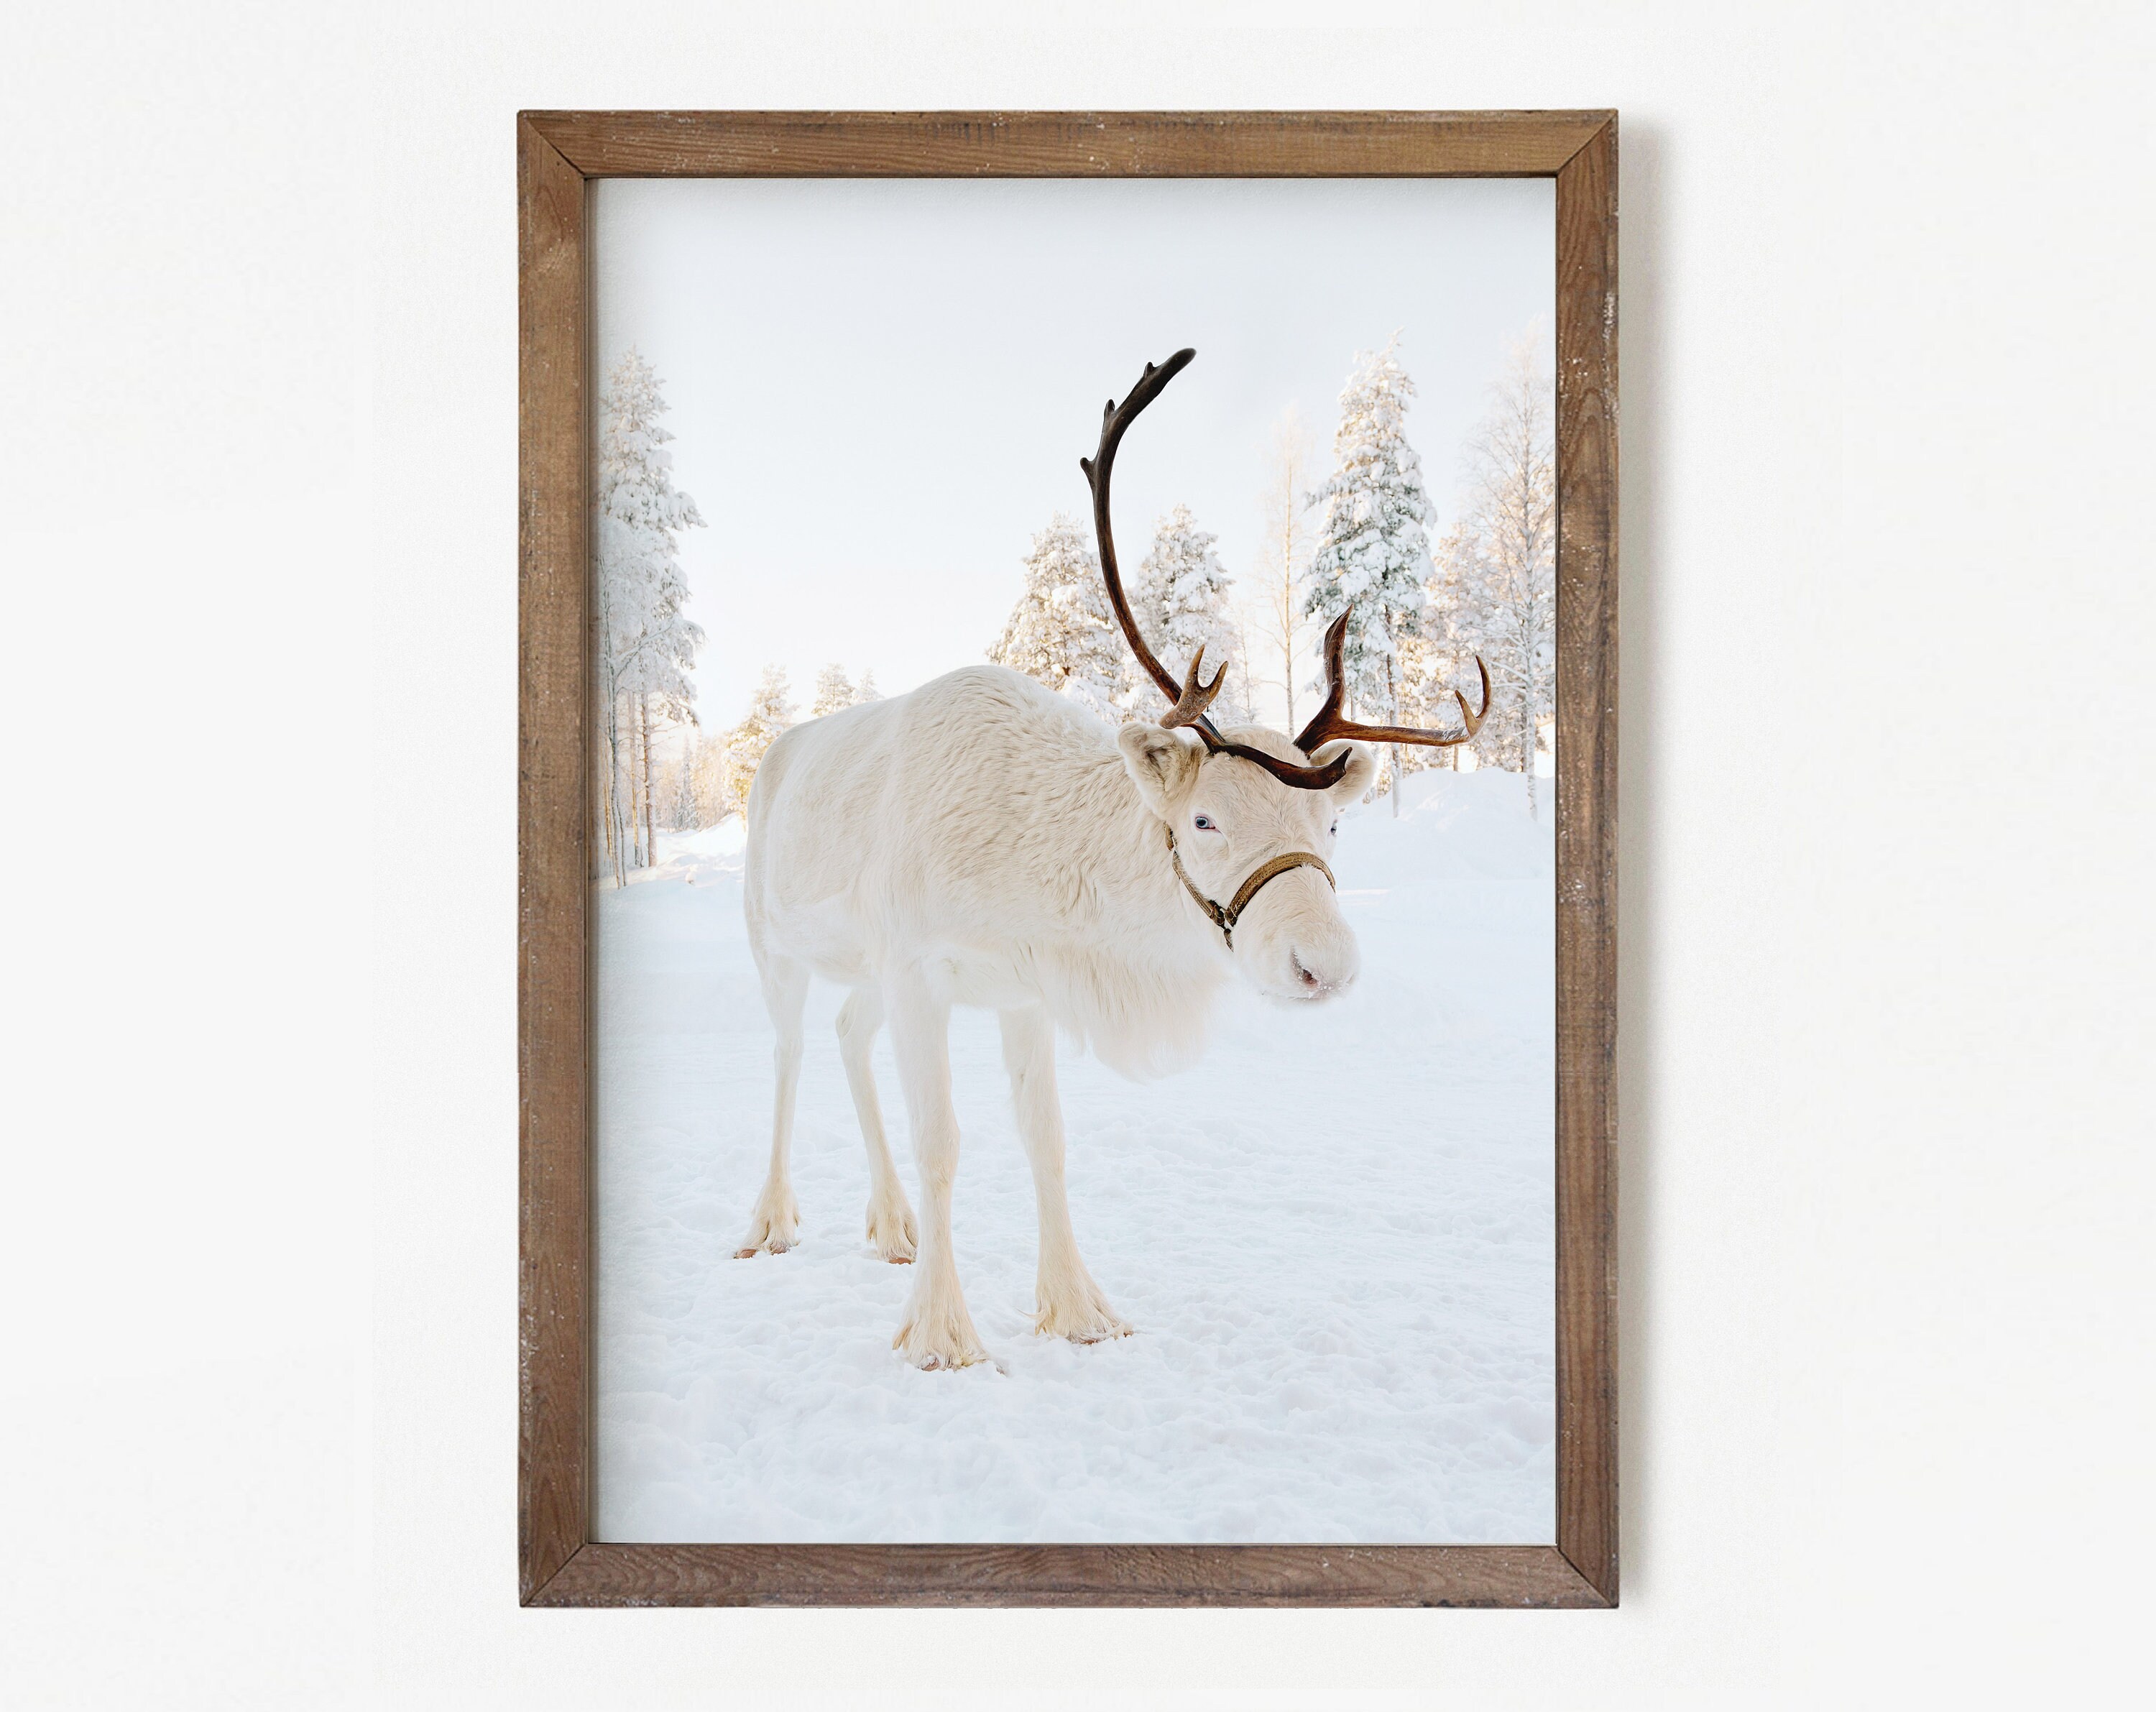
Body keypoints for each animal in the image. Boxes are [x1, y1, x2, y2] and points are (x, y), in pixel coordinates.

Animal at [736, 348, 1490, 1370]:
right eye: (1205, 820)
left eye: (1332, 826)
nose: (1324, 965)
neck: (1040, 863)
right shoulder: (922, 971)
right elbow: (945, 1142)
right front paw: (941, 1334)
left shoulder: (1018, 989)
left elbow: (1046, 1141)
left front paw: (1079, 1311)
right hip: (774, 944)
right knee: (788, 1052)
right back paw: (771, 1221)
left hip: (863, 969)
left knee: (851, 1037)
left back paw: (892, 1226)